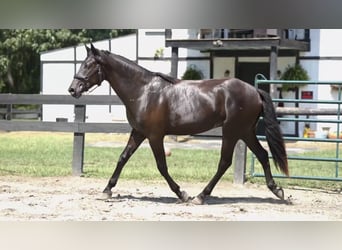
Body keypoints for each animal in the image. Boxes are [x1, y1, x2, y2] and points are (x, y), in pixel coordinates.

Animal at [68, 44, 288, 205]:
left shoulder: (155, 136)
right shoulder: (138, 132)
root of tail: (254, 91)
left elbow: (161, 166)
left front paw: (182, 194)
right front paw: (106, 190)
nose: (72, 89)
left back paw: (200, 196)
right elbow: (122, 158)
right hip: (245, 131)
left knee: (225, 162)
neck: (143, 91)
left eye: (89, 65)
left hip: (232, 132)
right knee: (262, 155)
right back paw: (277, 190)